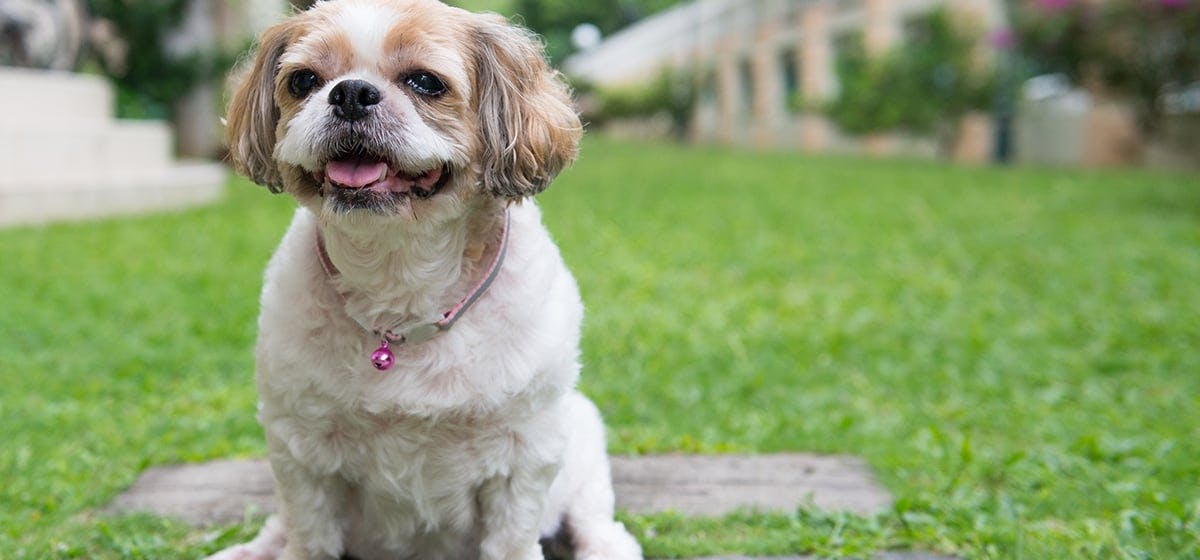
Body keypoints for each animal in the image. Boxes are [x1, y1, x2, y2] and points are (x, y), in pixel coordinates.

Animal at [213, 2, 648, 558]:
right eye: (303, 80)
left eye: (425, 82)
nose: (351, 93)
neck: (400, 280)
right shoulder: (300, 452)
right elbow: (309, 538)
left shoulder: (524, 455)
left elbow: (512, 540)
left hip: (584, 438)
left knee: (599, 524)